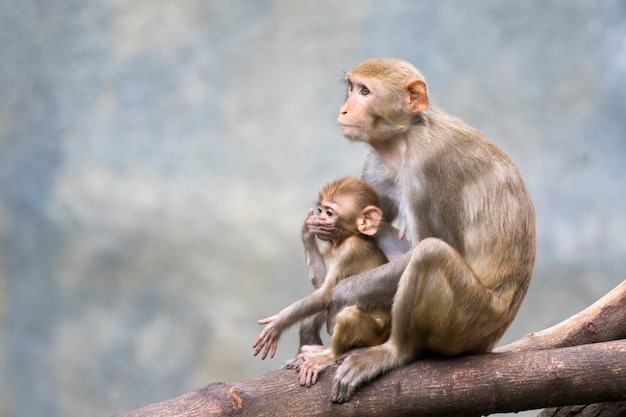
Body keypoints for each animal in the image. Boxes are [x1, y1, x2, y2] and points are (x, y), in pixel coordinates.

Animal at [252, 176, 390, 384]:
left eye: (330, 212)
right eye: (320, 210)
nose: (320, 217)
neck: (342, 240)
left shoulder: (351, 251)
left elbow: (326, 294)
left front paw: (277, 324)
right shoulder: (328, 247)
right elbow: (322, 284)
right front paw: (307, 230)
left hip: (375, 336)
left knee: (349, 315)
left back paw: (329, 354)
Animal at [304, 58, 532, 404]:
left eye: (365, 92)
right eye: (352, 88)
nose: (344, 109)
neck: (405, 137)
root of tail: (491, 339)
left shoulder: (429, 165)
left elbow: (437, 242)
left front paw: (336, 298)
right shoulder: (378, 161)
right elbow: (368, 219)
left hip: (470, 322)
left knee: (430, 254)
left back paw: (395, 352)